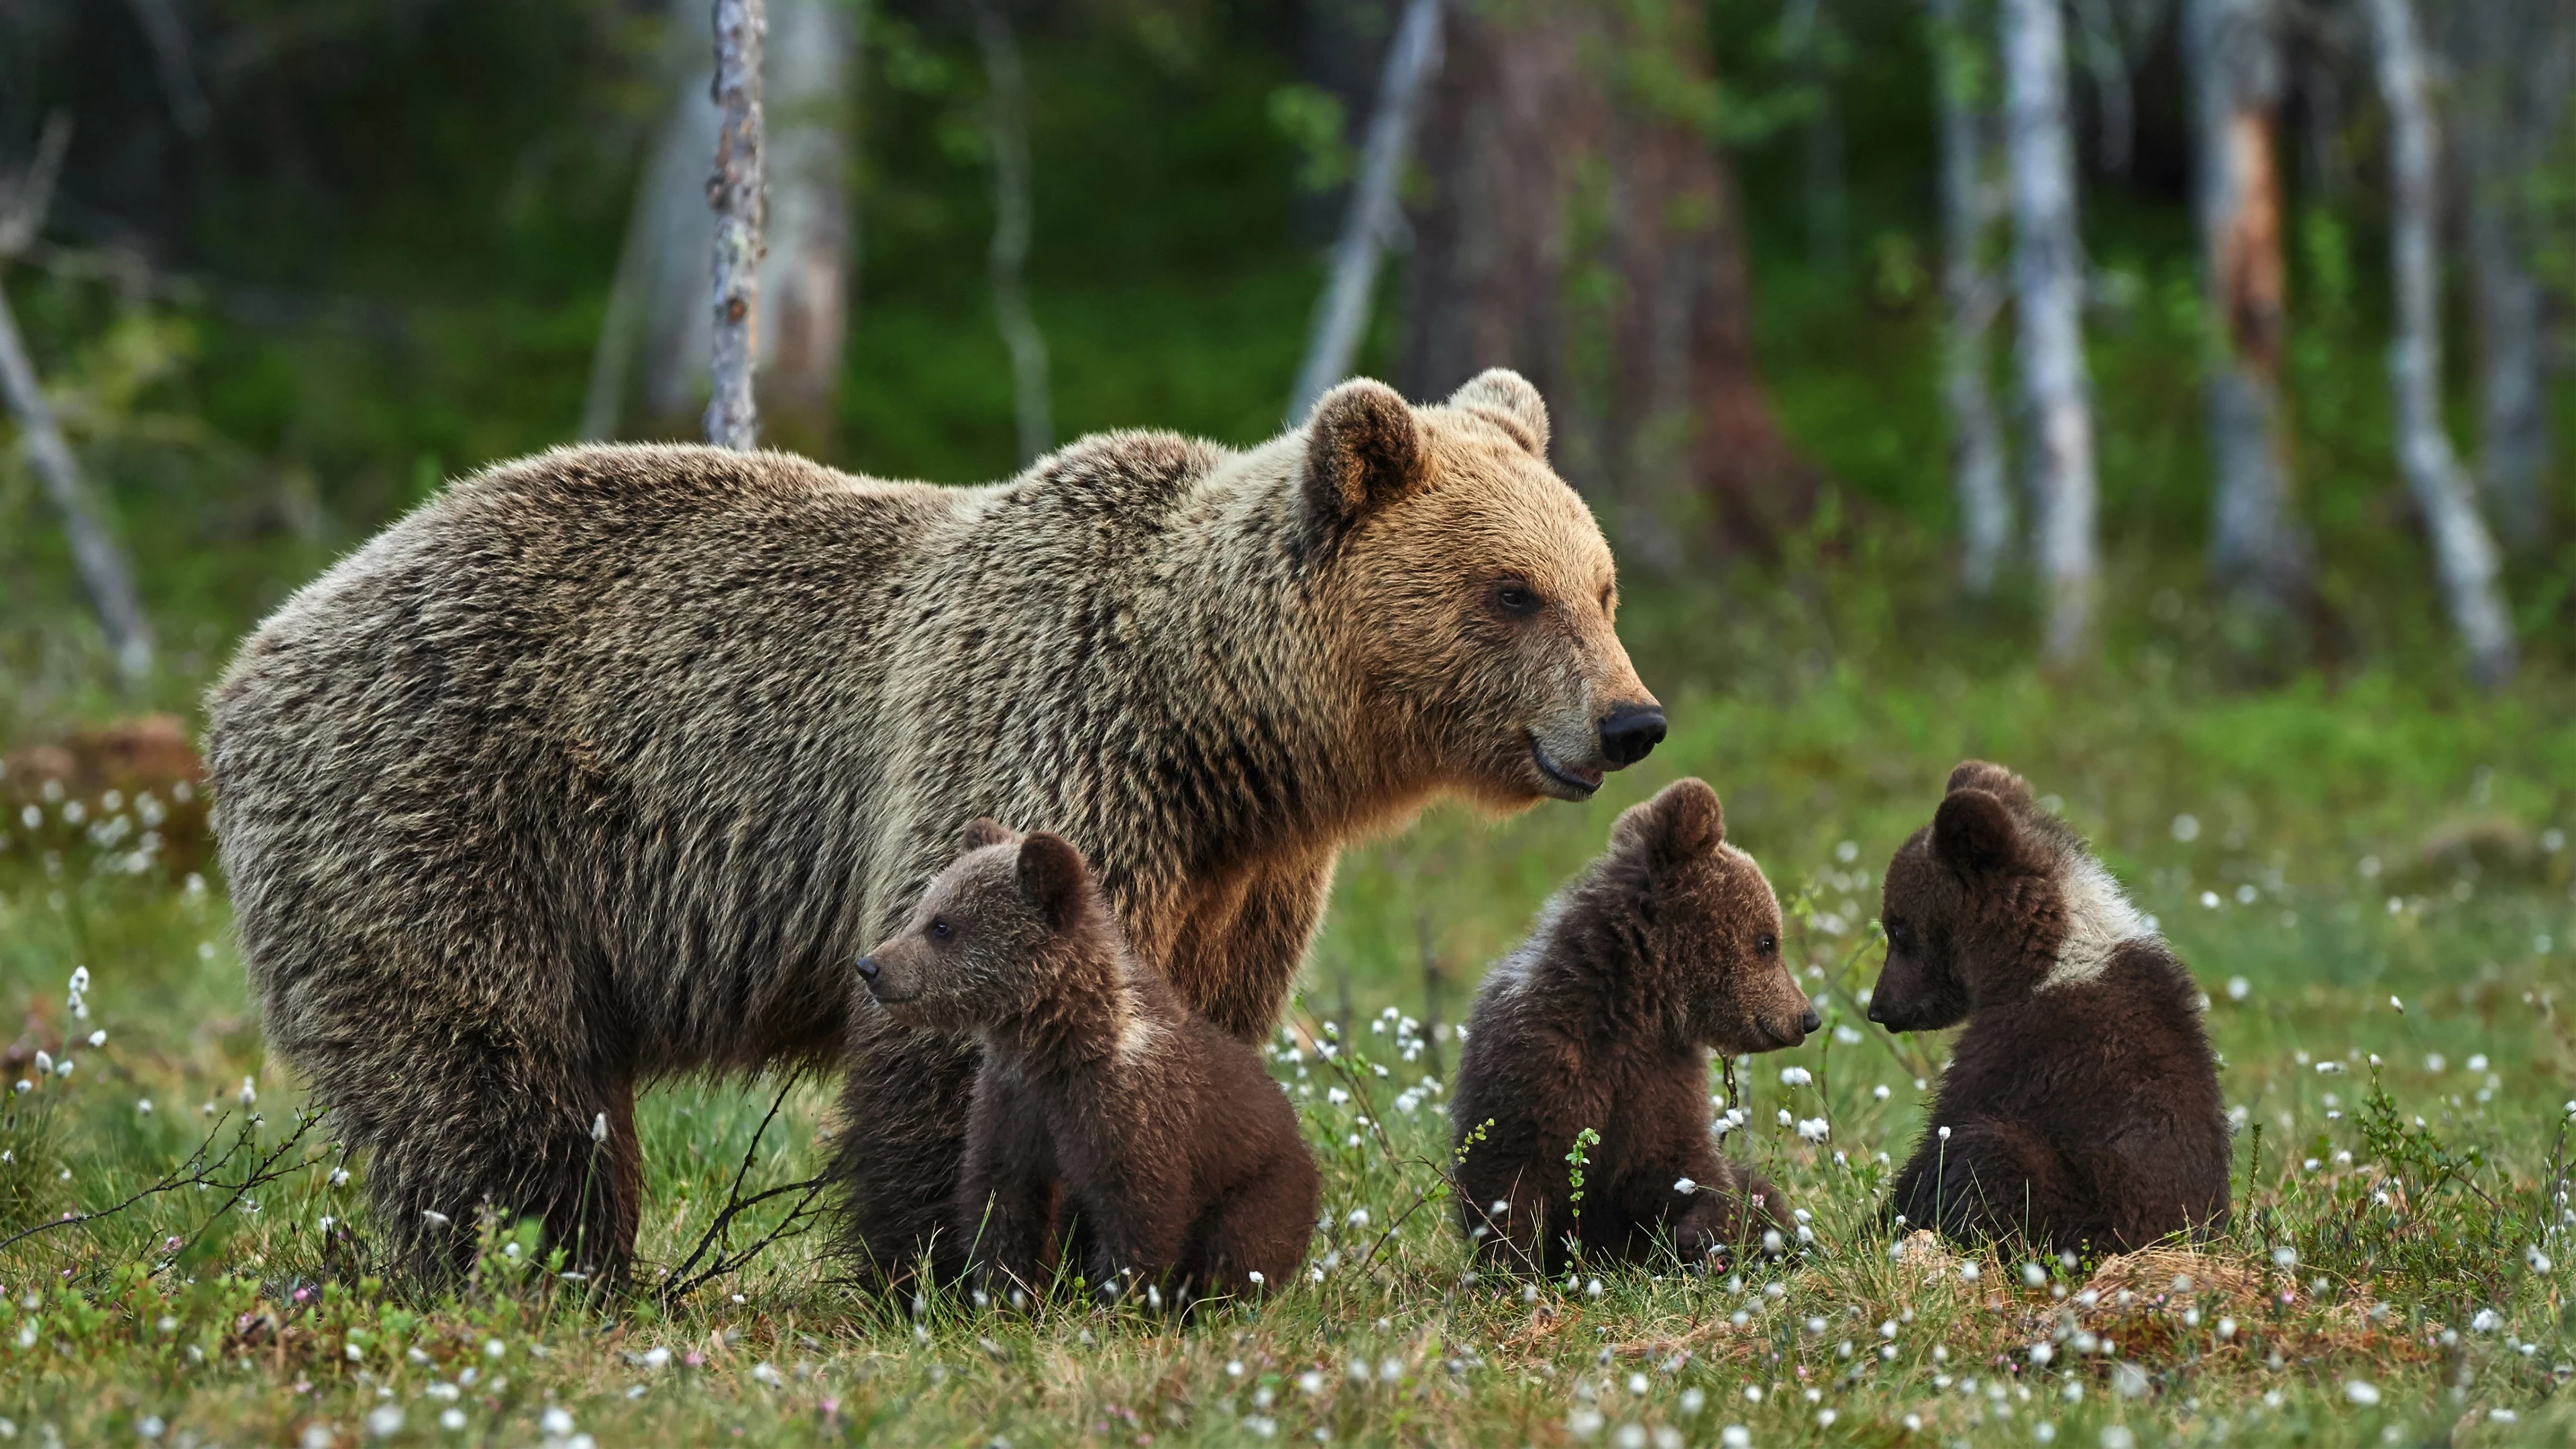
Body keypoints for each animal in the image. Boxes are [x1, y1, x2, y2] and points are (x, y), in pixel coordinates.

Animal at [858, 819, 1318, 1306]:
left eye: (942, 926)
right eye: (924, 911)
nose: (869, 966)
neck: (1057, 1042)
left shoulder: (1129, 1114)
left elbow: (1138, 1219)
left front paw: (1118, 1303)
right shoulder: (1012, 1103)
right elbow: (1002, 1204)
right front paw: (1002, 1297)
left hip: (1262, 1187)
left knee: (1236, 1249)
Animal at [1449, 778, 1818, 1276]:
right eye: (1768, 942)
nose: (1807, 1017)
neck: (1633, 1009)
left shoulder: (1661, 1082)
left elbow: (1691, 1171)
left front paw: (1706, 1235)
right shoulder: (1537, 1063)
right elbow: (1507, 1179)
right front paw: (1511, 1271)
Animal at [1868, 761, 2231, 1255]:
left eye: (1898, 926)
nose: (1879, 1008)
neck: (2037, 962)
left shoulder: (2025, 1053)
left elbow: (1944, 1133)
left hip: (2084, 1212)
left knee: (1988, 1151)